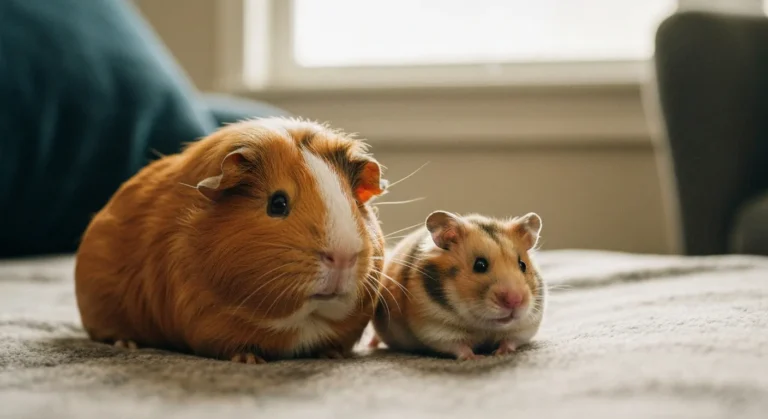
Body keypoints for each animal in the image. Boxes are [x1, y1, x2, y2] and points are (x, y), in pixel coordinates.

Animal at [74, 117, 388, 363]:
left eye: (353, 202)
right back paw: (127, 344)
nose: (343, 257)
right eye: (277, 204)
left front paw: (331, 354)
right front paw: (249, 359)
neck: (305, 320)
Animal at [370, 211, 545, 360]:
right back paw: (372, 345)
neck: (483, 326)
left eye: (522, 265)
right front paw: (476, 358)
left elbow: (511, 340)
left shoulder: (526, 326)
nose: (515, 301)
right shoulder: (435, 328)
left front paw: (500, 353)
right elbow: (458, 346)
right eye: (479, 265)